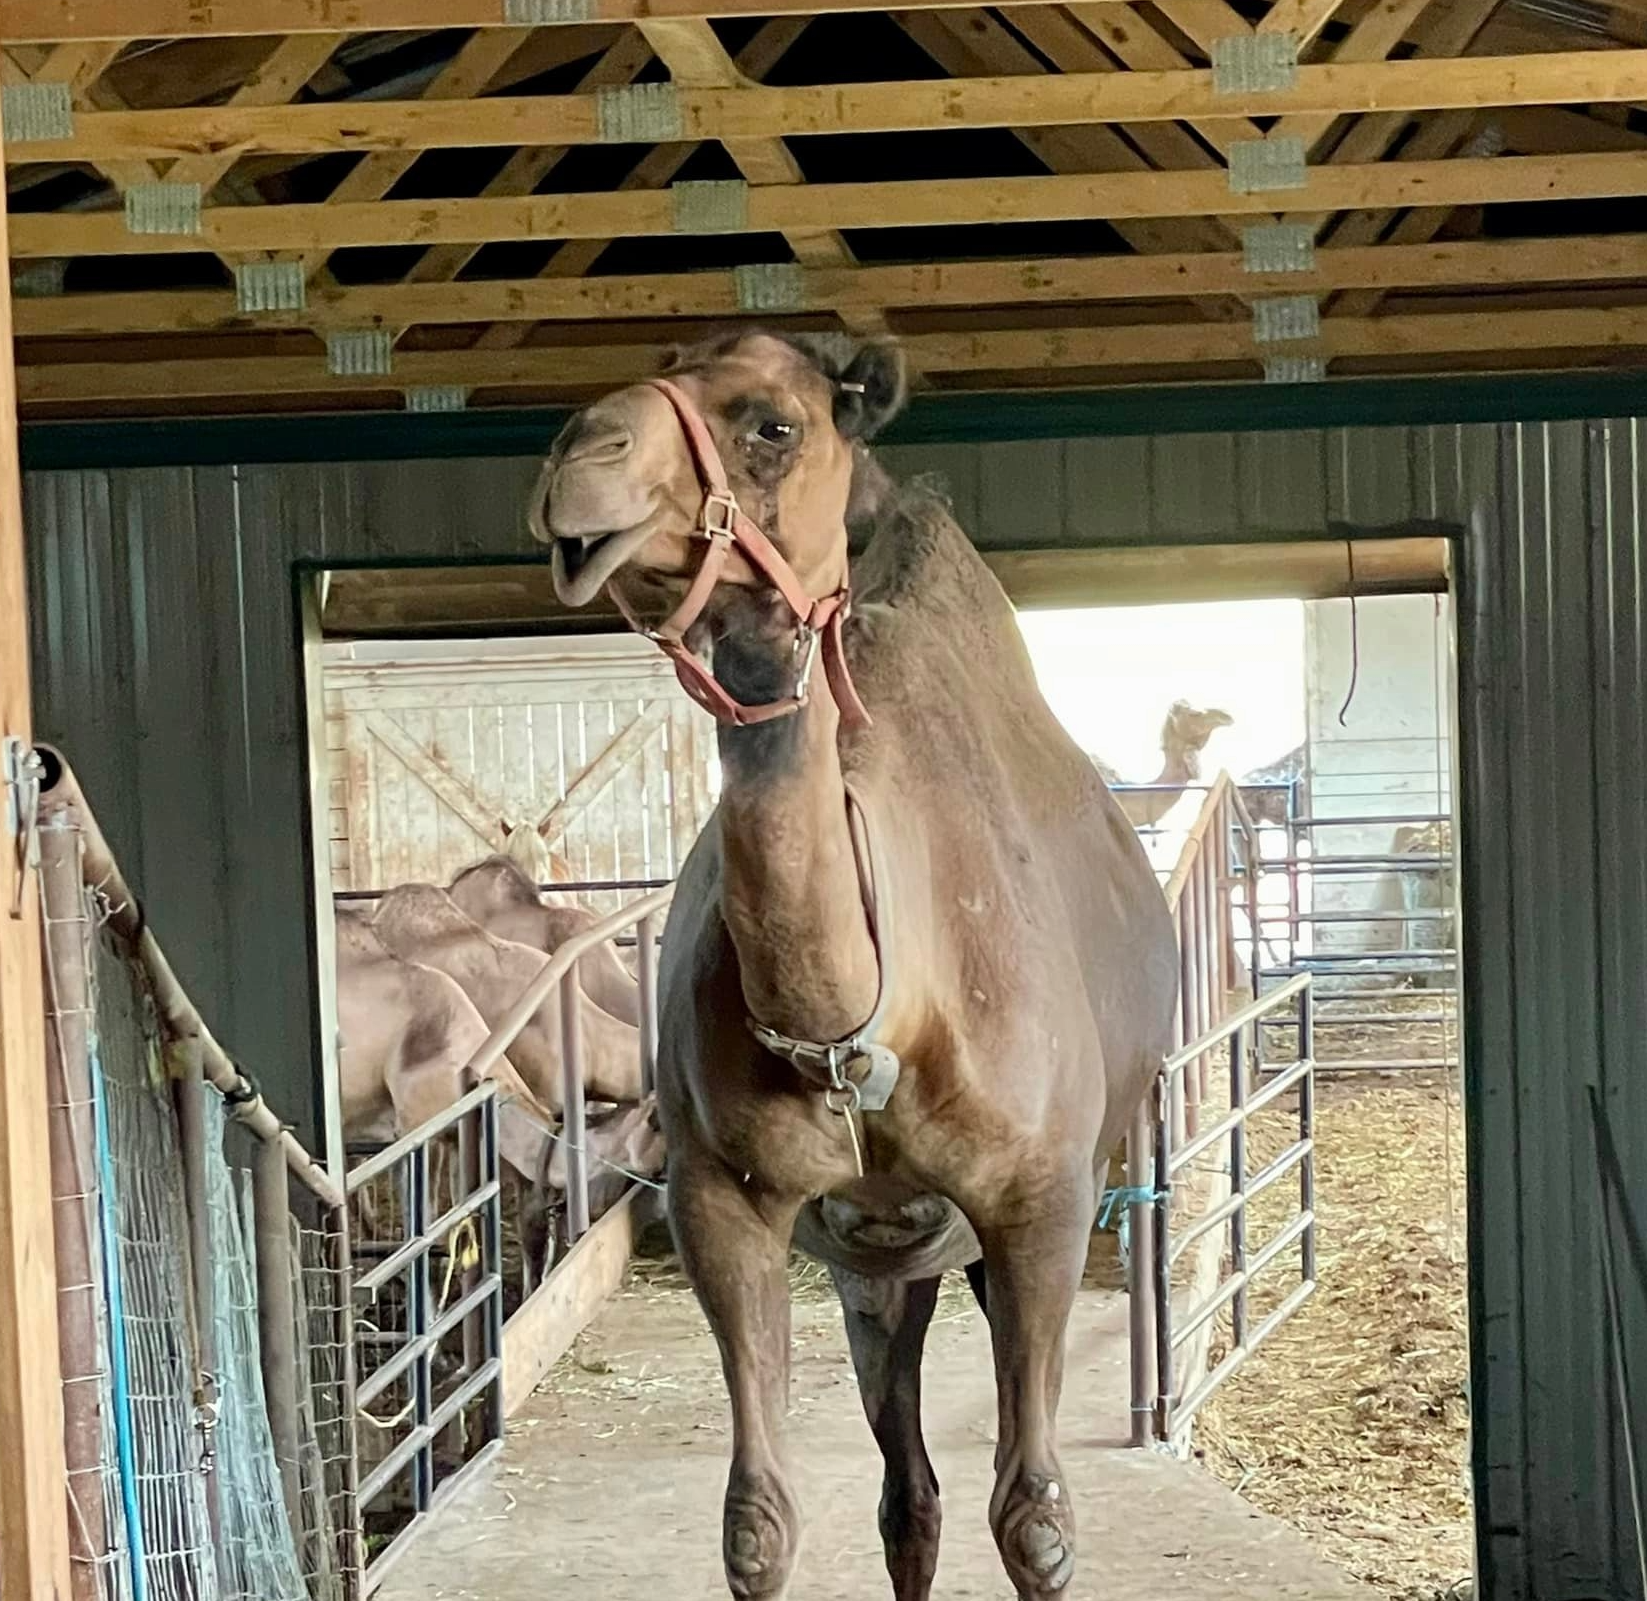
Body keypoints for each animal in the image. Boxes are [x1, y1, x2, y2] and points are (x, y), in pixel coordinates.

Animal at [532, 330, 1178, 1601]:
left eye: (773, 423)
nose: (576, 464)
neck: (868, 1021)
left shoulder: (1043, 1199)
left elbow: (1037, 1518)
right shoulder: (719, 1199)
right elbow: (757, 1520)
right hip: (879, 1261)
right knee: (907, 1493)